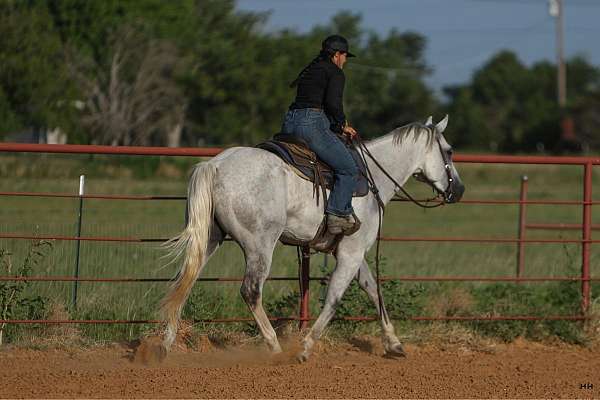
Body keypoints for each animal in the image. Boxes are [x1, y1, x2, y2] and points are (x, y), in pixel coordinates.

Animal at [158, 114, 464, 360]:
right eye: (449, 151)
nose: (459, 190)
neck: (374, 176)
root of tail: (216, 166)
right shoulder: (351, 253)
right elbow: (334, 299)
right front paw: (305, 347)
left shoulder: (351, 251)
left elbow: (372, 289)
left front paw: (394, 343)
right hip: (259, 246)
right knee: (251, 291)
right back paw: (275, 348)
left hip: (209, 238)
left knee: (184, 280)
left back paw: (164, 345)